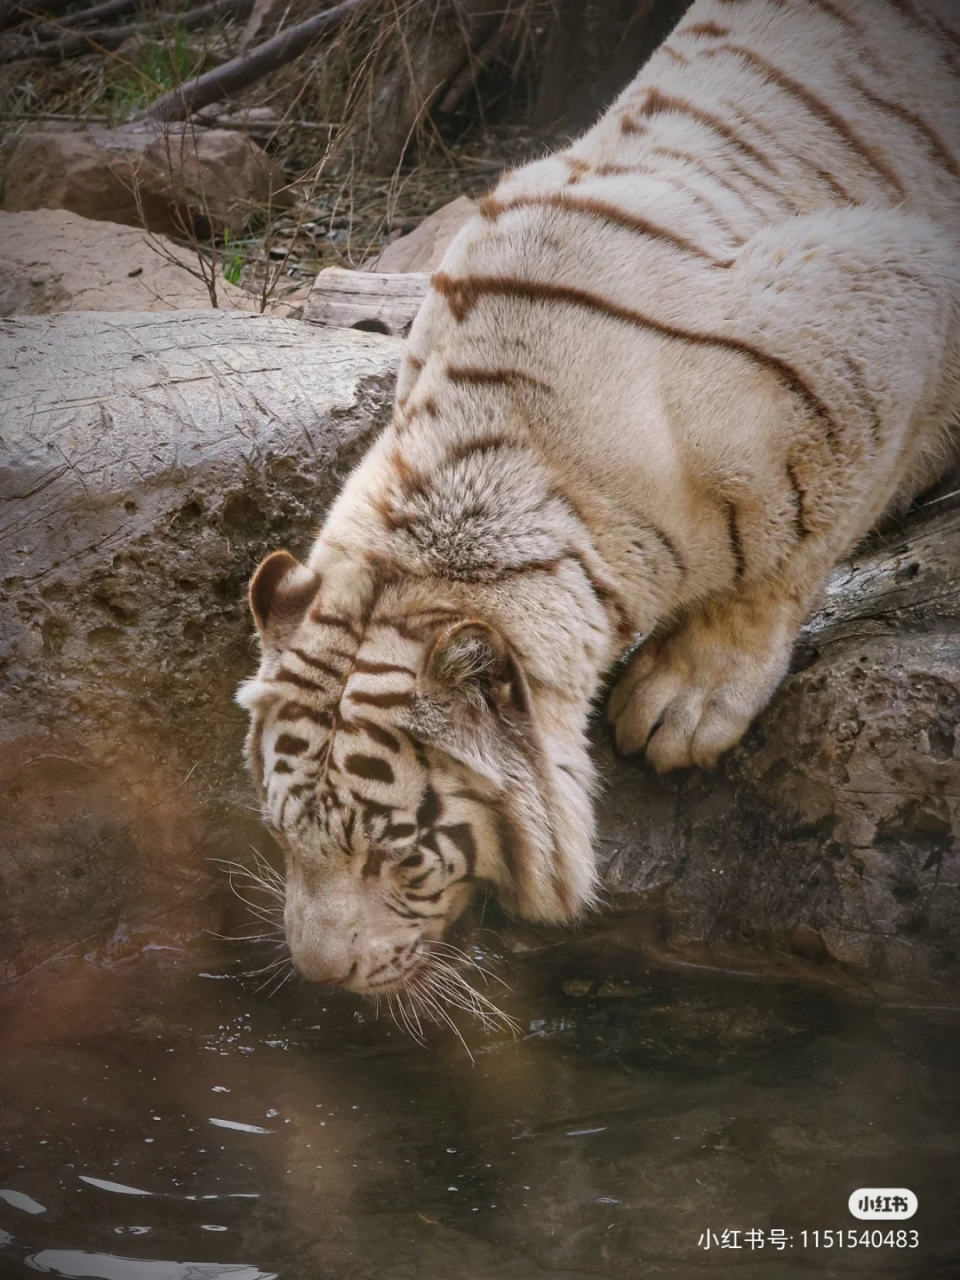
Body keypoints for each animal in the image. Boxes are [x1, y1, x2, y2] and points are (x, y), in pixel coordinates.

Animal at [239, 0, 960, 998]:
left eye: (395, 853)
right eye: (281, 834)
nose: (321, 973)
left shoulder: (881, 298)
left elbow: (795, 546)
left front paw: (684, 704)